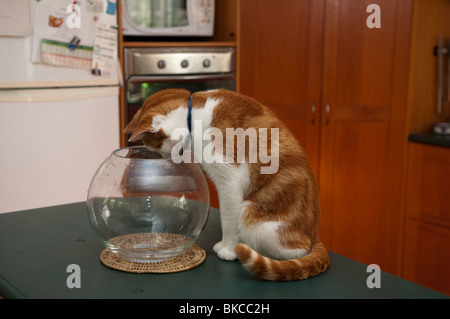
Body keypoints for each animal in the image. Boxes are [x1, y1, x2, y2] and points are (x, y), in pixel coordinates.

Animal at [124, 89, 330, 282]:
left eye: (154, 147)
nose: (167, 159)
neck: (195, 115)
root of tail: (315, 236)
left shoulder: (230, 182)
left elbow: (228, 220)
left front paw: (228, 249)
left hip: (252, 214)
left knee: (296, 251)